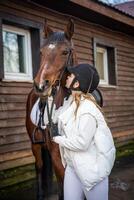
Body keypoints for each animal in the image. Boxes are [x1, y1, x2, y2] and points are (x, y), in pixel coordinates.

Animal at [25, 19, 77, 200]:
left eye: (65, 52)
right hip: (35, 145)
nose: (41, 85)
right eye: (41, 52)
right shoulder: (57, 157)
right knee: (39, 166)